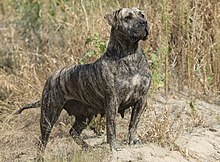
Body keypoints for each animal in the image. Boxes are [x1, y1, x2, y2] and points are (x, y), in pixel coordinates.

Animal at [15, 7, 151, 154]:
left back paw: (87, 147)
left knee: (73, 132)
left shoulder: (141, 98)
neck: (130, 55)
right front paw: (114, 147)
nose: (144, 22)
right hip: (49, 115)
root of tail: (52, 77)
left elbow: (134, 122)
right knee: (42, 142)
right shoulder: (112, 101)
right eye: (127, 17)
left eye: (142, 15)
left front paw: (133, 140)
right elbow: (111, 127)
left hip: (84, 116)